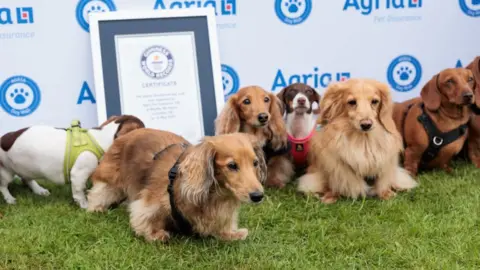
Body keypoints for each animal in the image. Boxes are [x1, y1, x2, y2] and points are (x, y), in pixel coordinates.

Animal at [0, 116, 143, 209]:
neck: (102, 138)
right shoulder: (78, 175)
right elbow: (79, 191)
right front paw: (84, 205)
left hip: (26, 168)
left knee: (26, 179)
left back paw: (39, 190)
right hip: (6, 173)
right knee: (3, 186)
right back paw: (10, 199)